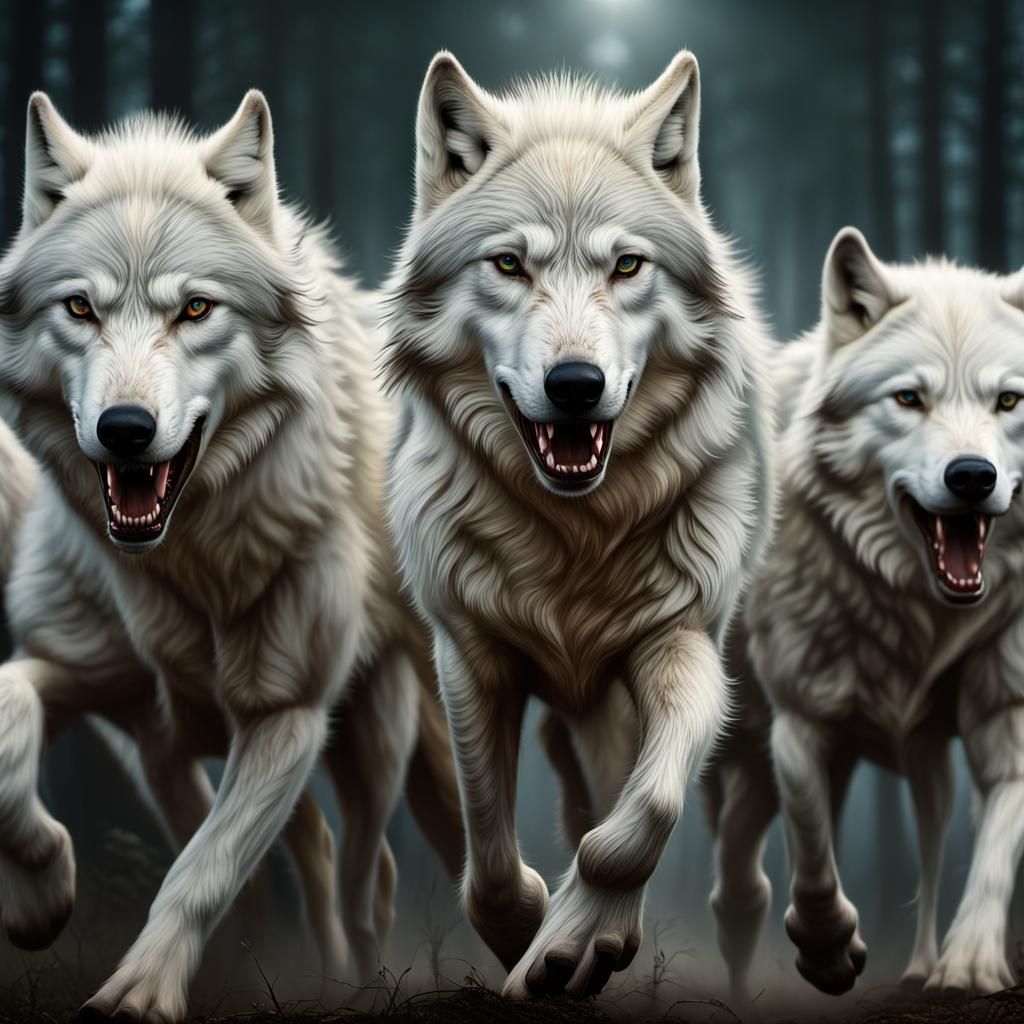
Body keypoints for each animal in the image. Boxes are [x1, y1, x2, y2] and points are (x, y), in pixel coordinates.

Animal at [0, 92, 461, 1022]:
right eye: (80, 309)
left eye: (195, 310)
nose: (126, 429)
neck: (183, 566)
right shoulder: (94, 681)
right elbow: (11, 720)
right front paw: (42, 896)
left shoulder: (284, 713)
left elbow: (201, 870)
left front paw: (139, 992)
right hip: (170, 755)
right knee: (315, 846)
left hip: (395, 738)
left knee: (385, 872)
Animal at [382, 50, 776, 998]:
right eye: (509, 265)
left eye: (627, 266)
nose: (574, 384)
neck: (576, 535)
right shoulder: (471, 655)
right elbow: (488, 856)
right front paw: (526, 930)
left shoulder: (682, 640)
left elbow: (643, 814)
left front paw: (571, 939)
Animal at [711, 227, 1024, 998]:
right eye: (909, 398)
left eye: (1008, 402)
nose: (973, 477)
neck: (923, 615)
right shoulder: (800, 725)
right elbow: (813, 848)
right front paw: (827, 950)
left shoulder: (1005, 717)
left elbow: (995, 848)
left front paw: (971, 963)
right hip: (746, 747)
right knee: (737, 882)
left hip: (923, 759)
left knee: (934, 841)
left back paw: (921, 966)